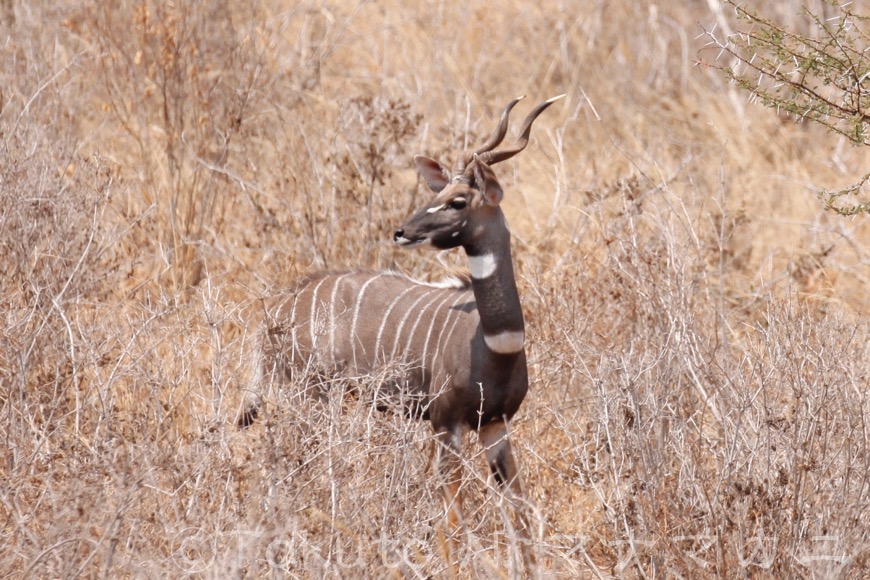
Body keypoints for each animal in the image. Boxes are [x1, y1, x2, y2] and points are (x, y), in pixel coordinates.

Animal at [238, 95, 564, 560]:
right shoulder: (445, 422)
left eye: (458, 201)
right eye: (438, 193)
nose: (402, 231)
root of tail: (278, 307)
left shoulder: (495, 424)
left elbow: (518, 510)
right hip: (311, 395)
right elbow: (452, 519)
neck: (495, 344)